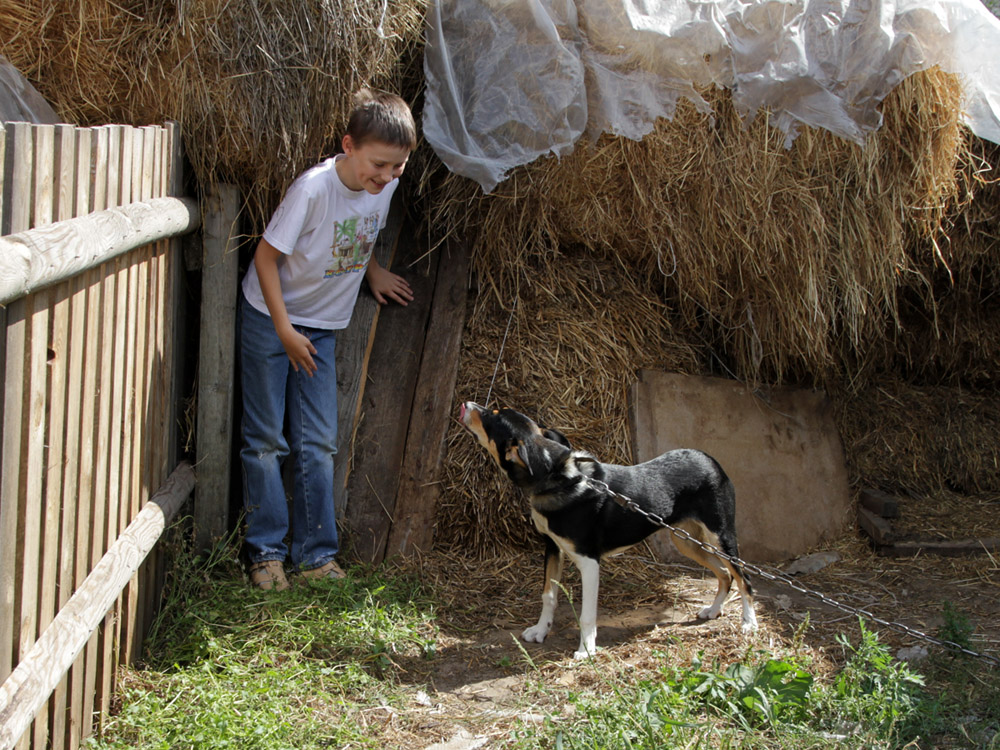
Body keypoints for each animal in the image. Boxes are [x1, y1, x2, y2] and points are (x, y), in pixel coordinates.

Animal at [460, 402, 756, 660]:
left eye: (491, 415)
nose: (467, 404)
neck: (560, 480)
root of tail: (708, 458)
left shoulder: (589, 562)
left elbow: (586, 615)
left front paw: (586, 650)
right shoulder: (552, 548)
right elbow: (549, 595)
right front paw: (541, 631)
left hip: (721, 536)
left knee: (743, 578)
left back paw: (749, 622)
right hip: (687, 541)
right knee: (724, 575)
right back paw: (714, 610)